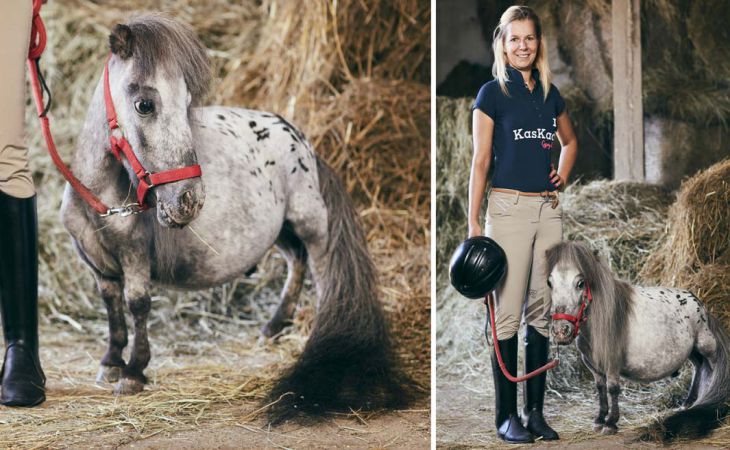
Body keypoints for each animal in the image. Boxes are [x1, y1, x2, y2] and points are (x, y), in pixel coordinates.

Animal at [59, 13, 410, 422]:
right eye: (145, 104)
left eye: (187, 103)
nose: (189, 200)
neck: (99, 196)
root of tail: (302, 140)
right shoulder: (98, 264)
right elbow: (112, 307)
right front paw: (111, 362)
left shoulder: (134, 257)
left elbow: (137, 304)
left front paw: (133, 371)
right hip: (280, 231)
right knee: (296, 262)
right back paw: (274, 327)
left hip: (310, 223)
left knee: (321, 272)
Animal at [544, 241, 728, 442]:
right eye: (550, 283)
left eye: (580, 283)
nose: (561, 331)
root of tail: (700, 304)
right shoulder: (595, 368)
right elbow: (601, 390)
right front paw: (600, 420)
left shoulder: (612, 365)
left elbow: (613, 389)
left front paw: (610, 423)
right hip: (693, 351)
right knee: (698, 367)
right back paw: (688, 403)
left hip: (706, 346)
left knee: (712, 367)